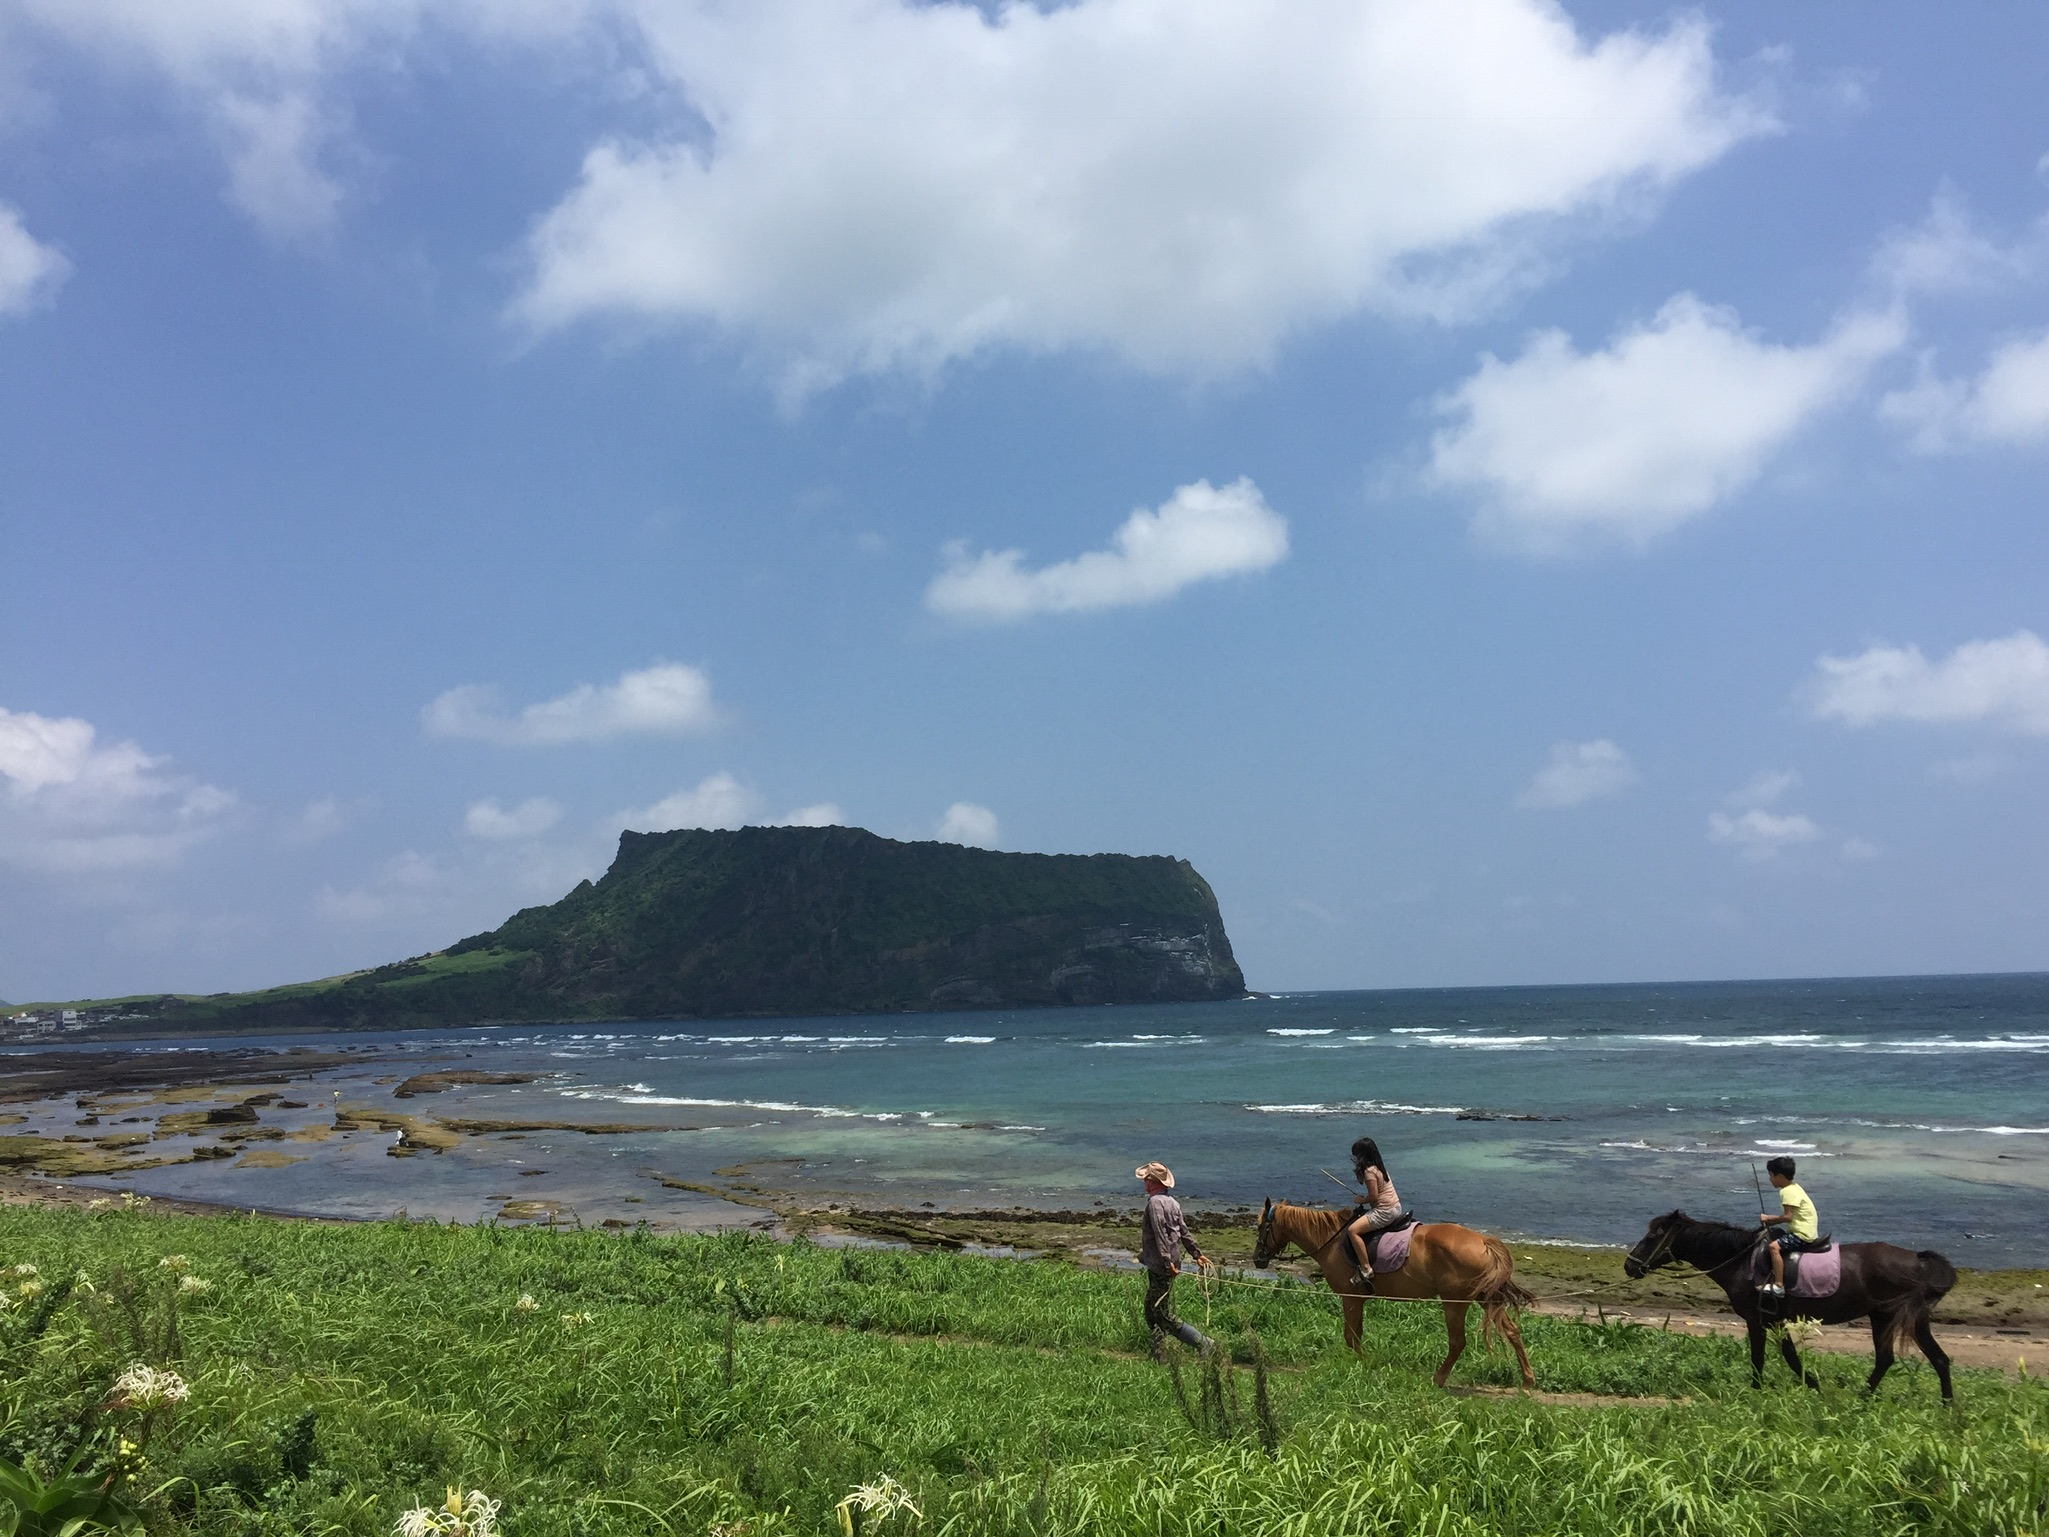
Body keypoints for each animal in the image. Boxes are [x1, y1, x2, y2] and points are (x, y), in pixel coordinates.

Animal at [1245, 1205, 1540, 1393]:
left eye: (1261, 1226)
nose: (1258, 1259)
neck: (1333, 1241)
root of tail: (1483, 1241)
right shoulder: (1359, 1299)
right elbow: (1357, 1334)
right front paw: (1366, 1362)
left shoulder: (1350, 1298)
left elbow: (1350, 1336)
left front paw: (1363, 1364)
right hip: (1485, 1298)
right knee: (1512, 1332)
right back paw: (1527, 1381)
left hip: (1454, 1303)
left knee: (1458, 1342)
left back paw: (1439, 1378)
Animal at [1622, 1213, 1958, 1409]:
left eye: (1652, 1236)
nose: (1629, 1266)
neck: (1741, 1261)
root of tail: (1919, 1260)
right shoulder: (1775, 1321)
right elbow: (1791, 1357)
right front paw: (1814, 1386)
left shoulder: (1757, 1320)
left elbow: (1760, 1358)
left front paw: (1758, 1391)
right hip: (1886, 1317)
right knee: (1912, 1359)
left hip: (1897, 1317)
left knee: (1924, 1359)